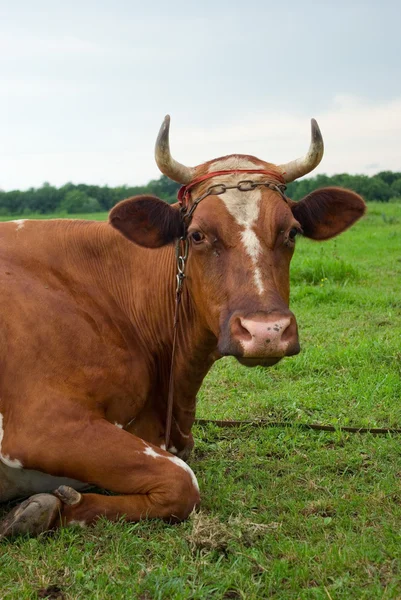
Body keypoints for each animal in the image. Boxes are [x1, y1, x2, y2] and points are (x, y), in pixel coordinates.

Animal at [0, 117, 364, 540]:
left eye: (291, 231)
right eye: (197, 234)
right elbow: (182, 483)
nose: (266, 332)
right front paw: (41, 510)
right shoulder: (40, 424)